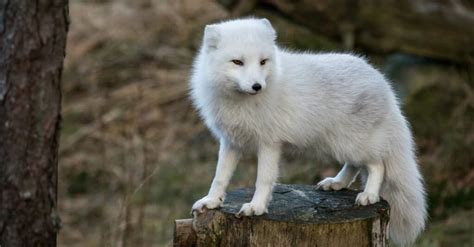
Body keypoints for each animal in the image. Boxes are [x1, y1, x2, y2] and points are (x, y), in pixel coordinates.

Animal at [190, 17, 430, 245]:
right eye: (238, 62)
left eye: (263, 62)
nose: (257, 86)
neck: (239, 102)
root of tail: (383, 83)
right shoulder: (230, 141)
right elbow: (220, 176)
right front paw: (211, 201)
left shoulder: (269, 143)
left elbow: (263, 179)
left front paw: (256, 207)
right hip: (339, 144)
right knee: (355, 166)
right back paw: (337, 183)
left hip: (353, 143)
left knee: (377, 165)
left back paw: (369, 195)